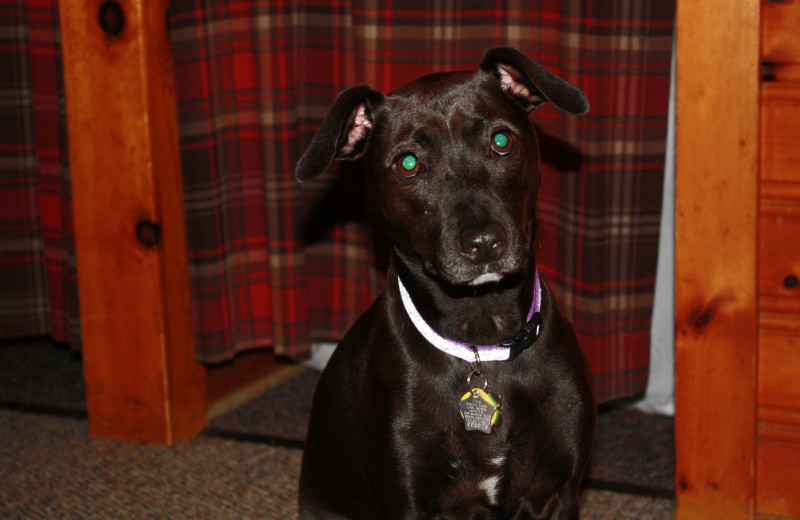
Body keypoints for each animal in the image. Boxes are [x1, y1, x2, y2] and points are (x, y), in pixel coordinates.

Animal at [294, 46, 592, 516]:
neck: (482, 342)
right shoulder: (415, 503)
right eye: (408, 164)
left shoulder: (557, 491)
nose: (484, 242)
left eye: (501, 141)